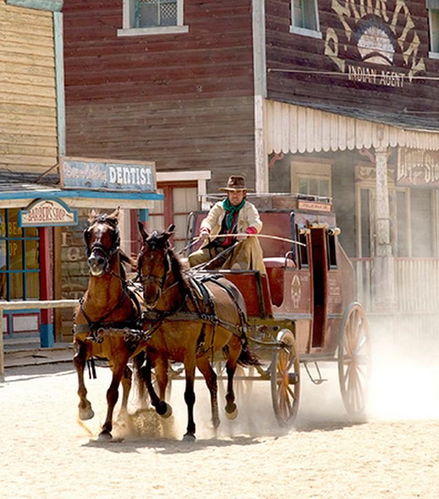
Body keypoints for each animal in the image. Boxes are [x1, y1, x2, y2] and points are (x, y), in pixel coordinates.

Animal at [73, 209, 144, 440]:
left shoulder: (121, 353)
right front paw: (84, 408)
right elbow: (78, 363)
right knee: (128, 377)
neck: (102, 307)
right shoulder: (83, 344)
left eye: (113, 234)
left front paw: (106, 427)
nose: (95, 261)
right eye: (88, 232)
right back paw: (122, 416)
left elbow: (112, 392)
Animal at [138, 225, 260, 440]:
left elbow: (189, 394)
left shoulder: (188, 355)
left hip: (234, 343)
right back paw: (215, 421)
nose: (150, 296)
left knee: (230, 370)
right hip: (202, 353)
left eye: (163, 260)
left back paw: (230, 406)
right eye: (142, 257)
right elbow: (146, 373)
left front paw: (190, 430)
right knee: (212, 379)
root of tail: (229, 283)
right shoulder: (157, 351)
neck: (171, 310)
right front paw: (163, 408)